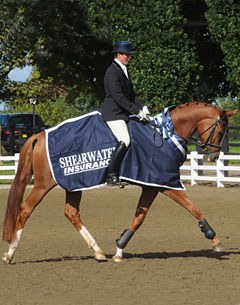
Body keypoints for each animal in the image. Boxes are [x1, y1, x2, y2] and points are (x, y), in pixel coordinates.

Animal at [1, 101, 238, 262]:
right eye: (219, 130)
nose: (212, 157)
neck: (166, 135)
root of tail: (39, 135)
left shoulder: (152, 186)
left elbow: (139, 218)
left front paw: (119, 249)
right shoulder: (165, 183)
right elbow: (193, 208)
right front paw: (215, 240)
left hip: (75, 184)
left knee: (71, 212)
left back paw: (98, 252)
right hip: (43, 184)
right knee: (25, 209)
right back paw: (10, 252)